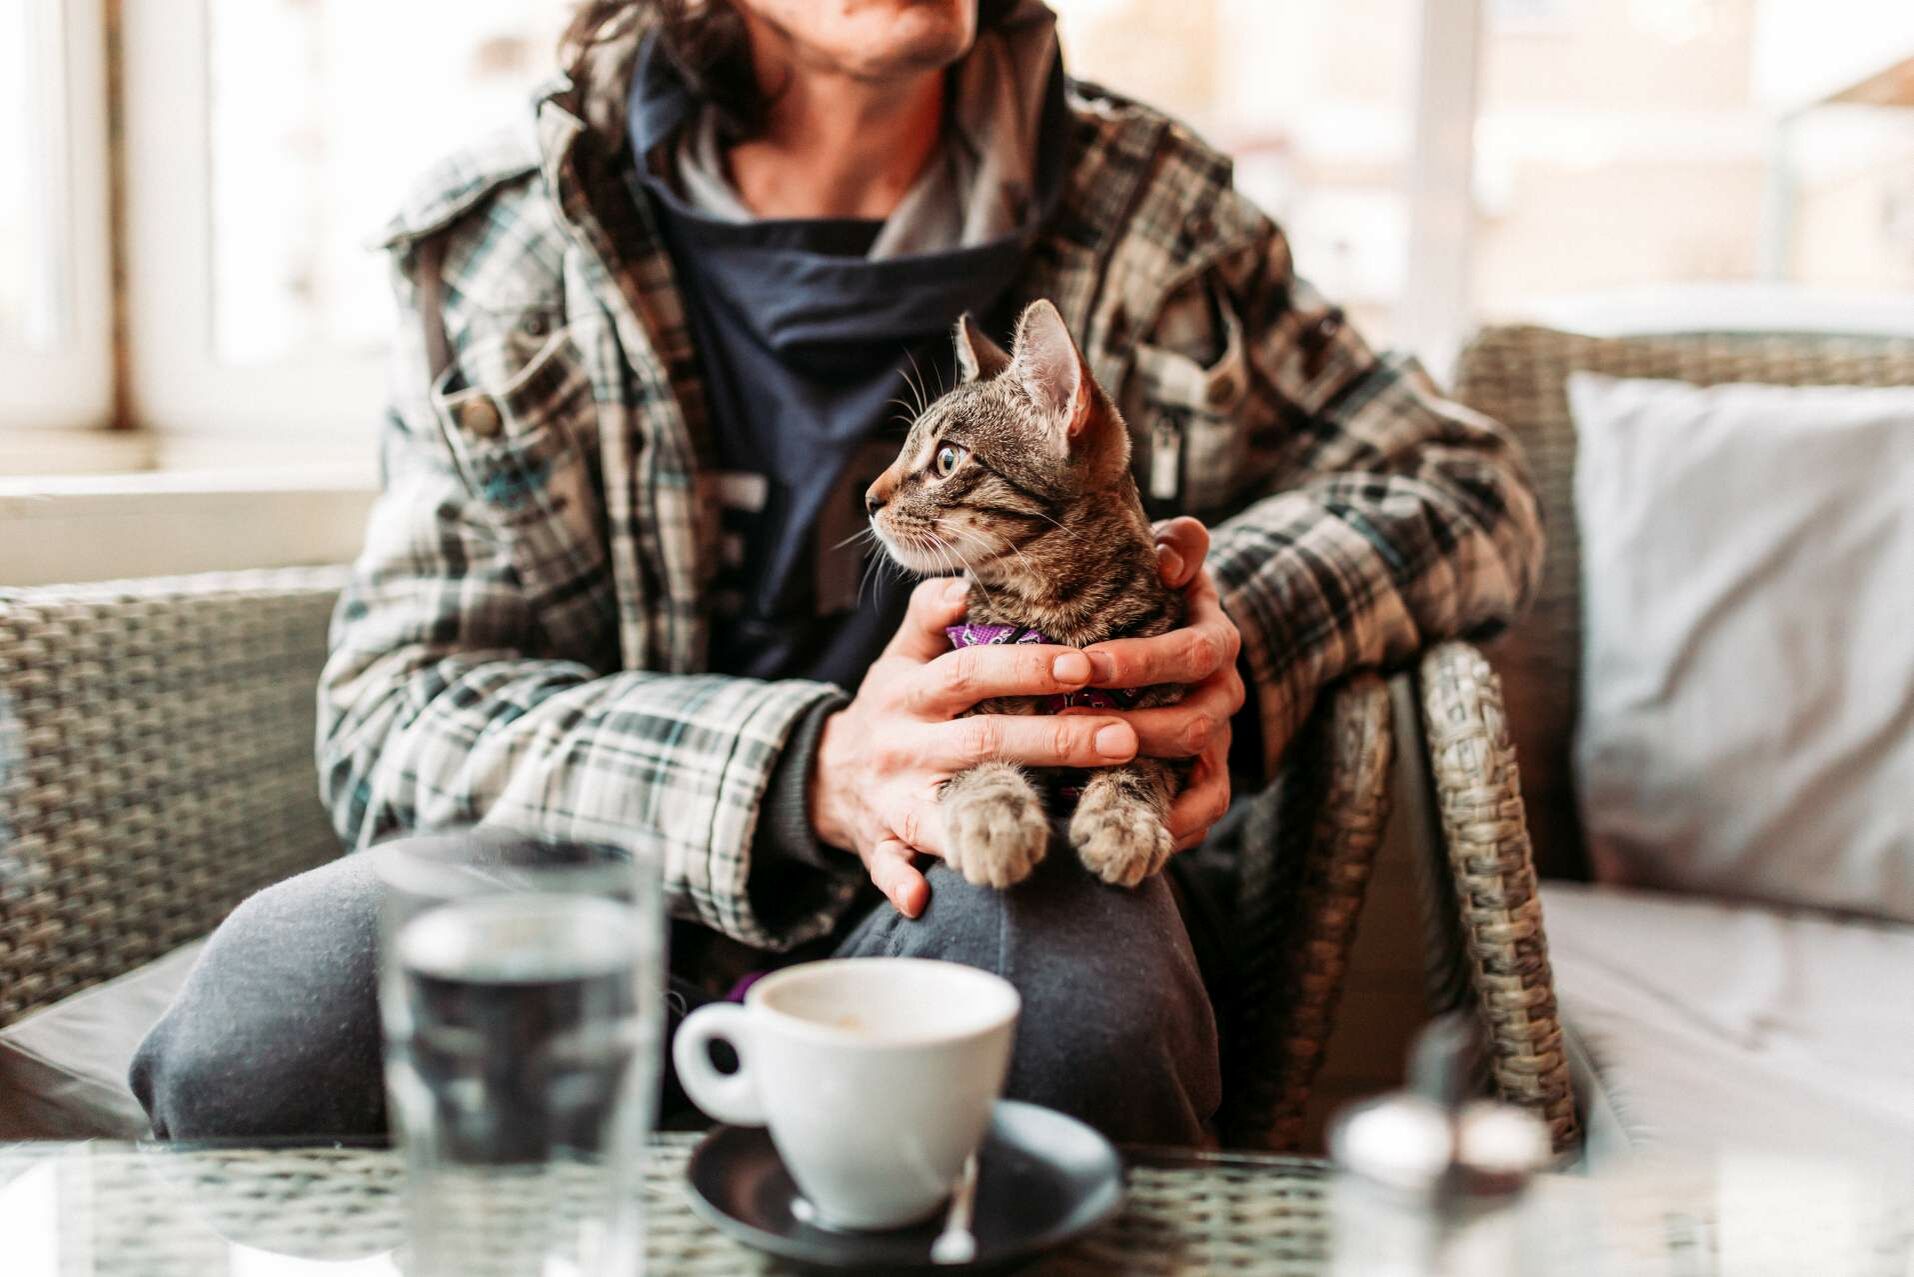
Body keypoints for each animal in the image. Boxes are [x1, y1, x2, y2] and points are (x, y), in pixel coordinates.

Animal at [865, 302, 1179, 888]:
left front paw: (1124, 821)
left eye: (947, 460)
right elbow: (977, 753)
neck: (1059, 615)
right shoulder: (955, 715)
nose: (869, 499)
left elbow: (1140, 763)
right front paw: (994, 819)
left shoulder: (1163, 721)